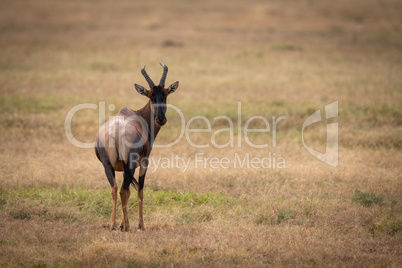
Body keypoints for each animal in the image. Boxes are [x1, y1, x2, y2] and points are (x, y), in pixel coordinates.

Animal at [94, 62, 179, 230]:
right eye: (151, 96)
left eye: (165, 95)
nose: (161, 119)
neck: (138, 116)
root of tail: (116, 133)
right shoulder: (144, 162)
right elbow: (139, 191)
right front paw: (140, 225)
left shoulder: (121, 168)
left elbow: (127, 193)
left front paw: (121, 224)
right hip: (131, 164)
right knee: (123, 190)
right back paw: (127, 226)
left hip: (107, 166)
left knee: (115, 189)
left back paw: (113, 224)